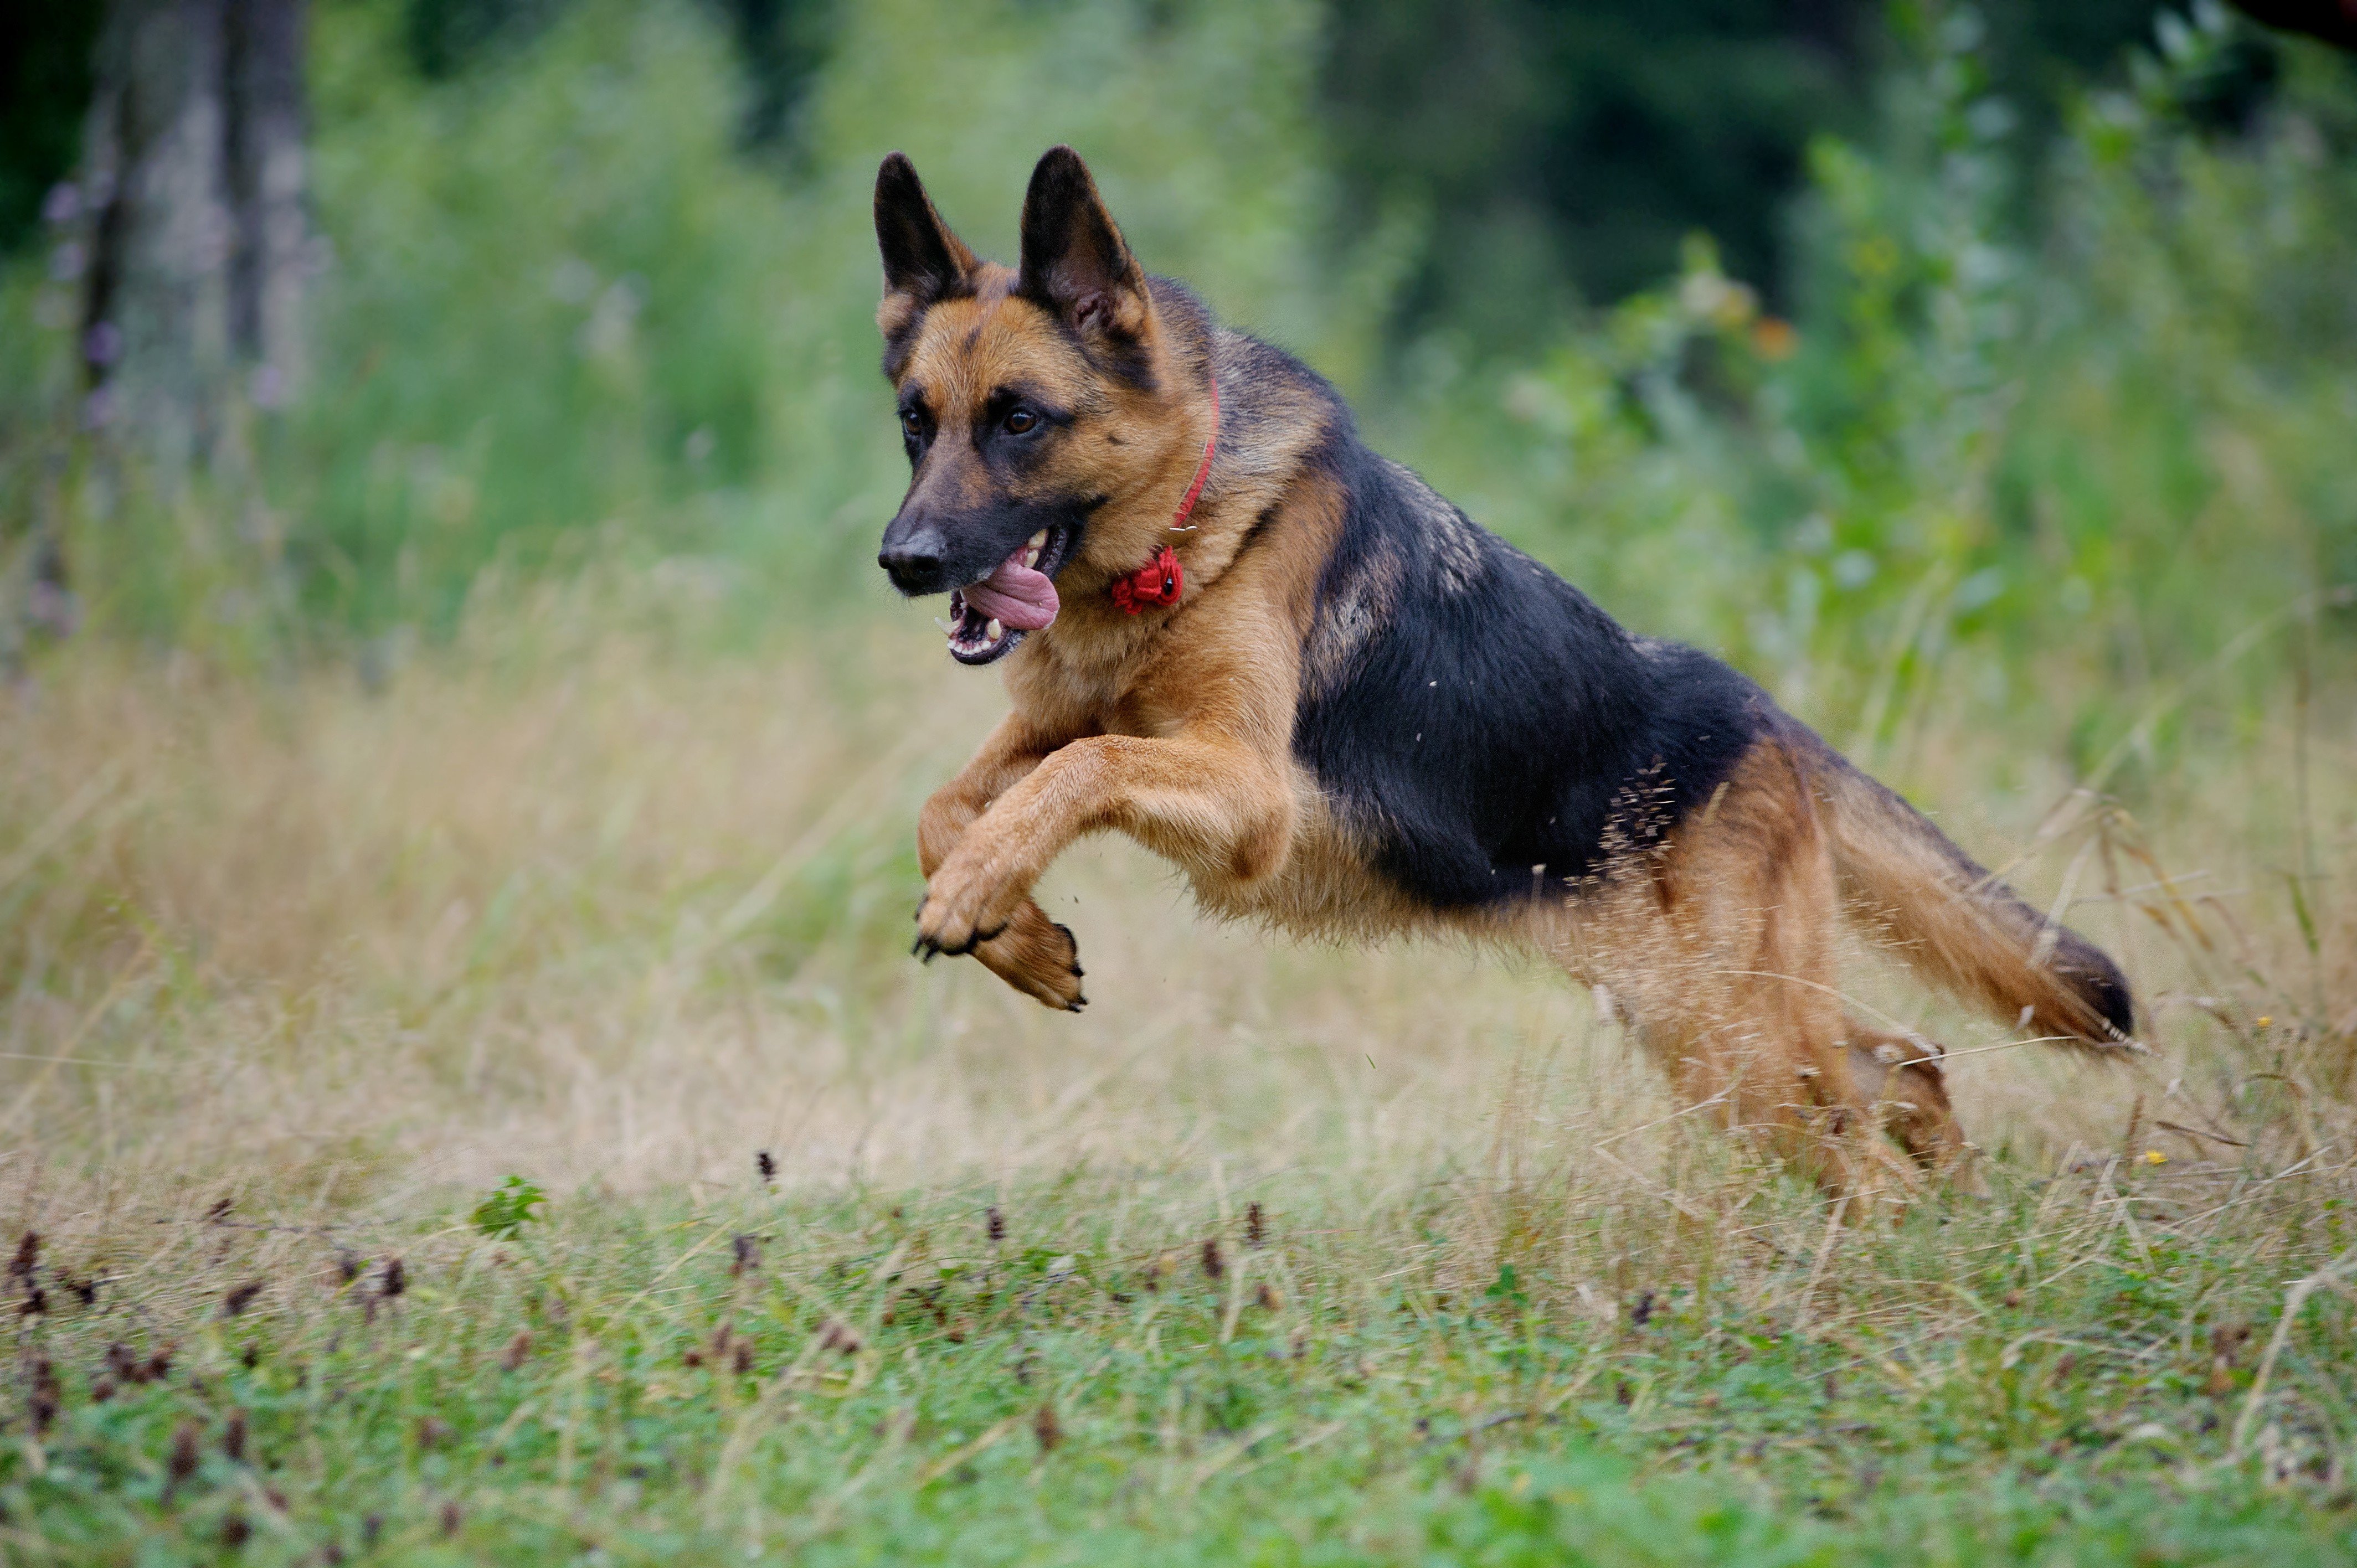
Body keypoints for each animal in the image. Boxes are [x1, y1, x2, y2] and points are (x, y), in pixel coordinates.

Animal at [877, 147, 2149, 1188]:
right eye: (915, 422)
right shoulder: (1049, 734)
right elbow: (949, 803)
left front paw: (985, 894)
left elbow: (1082, 768)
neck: (1183, 534)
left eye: (1022, 421)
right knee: (1908, 1065)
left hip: (1731, 1036)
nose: (904, 561)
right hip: (1695, 1017)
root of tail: (1761, 715)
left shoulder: (1247, 795)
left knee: (1867, 1135)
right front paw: (1011, 931)